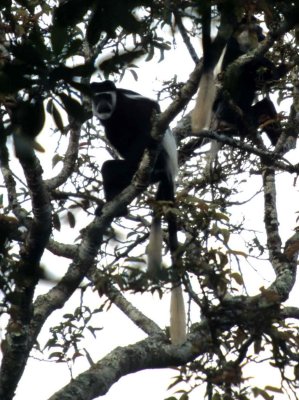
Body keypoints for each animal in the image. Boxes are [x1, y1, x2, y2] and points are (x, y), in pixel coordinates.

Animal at [90, 80, 186, 344]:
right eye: (96, 98)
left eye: (106, 96)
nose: (102, 105)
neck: (115, 111)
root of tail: (169, 174)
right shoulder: (108, 124)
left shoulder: (128, 105)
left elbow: (150, 112)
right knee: (110, 167)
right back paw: (114, 204)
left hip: (159, 157)